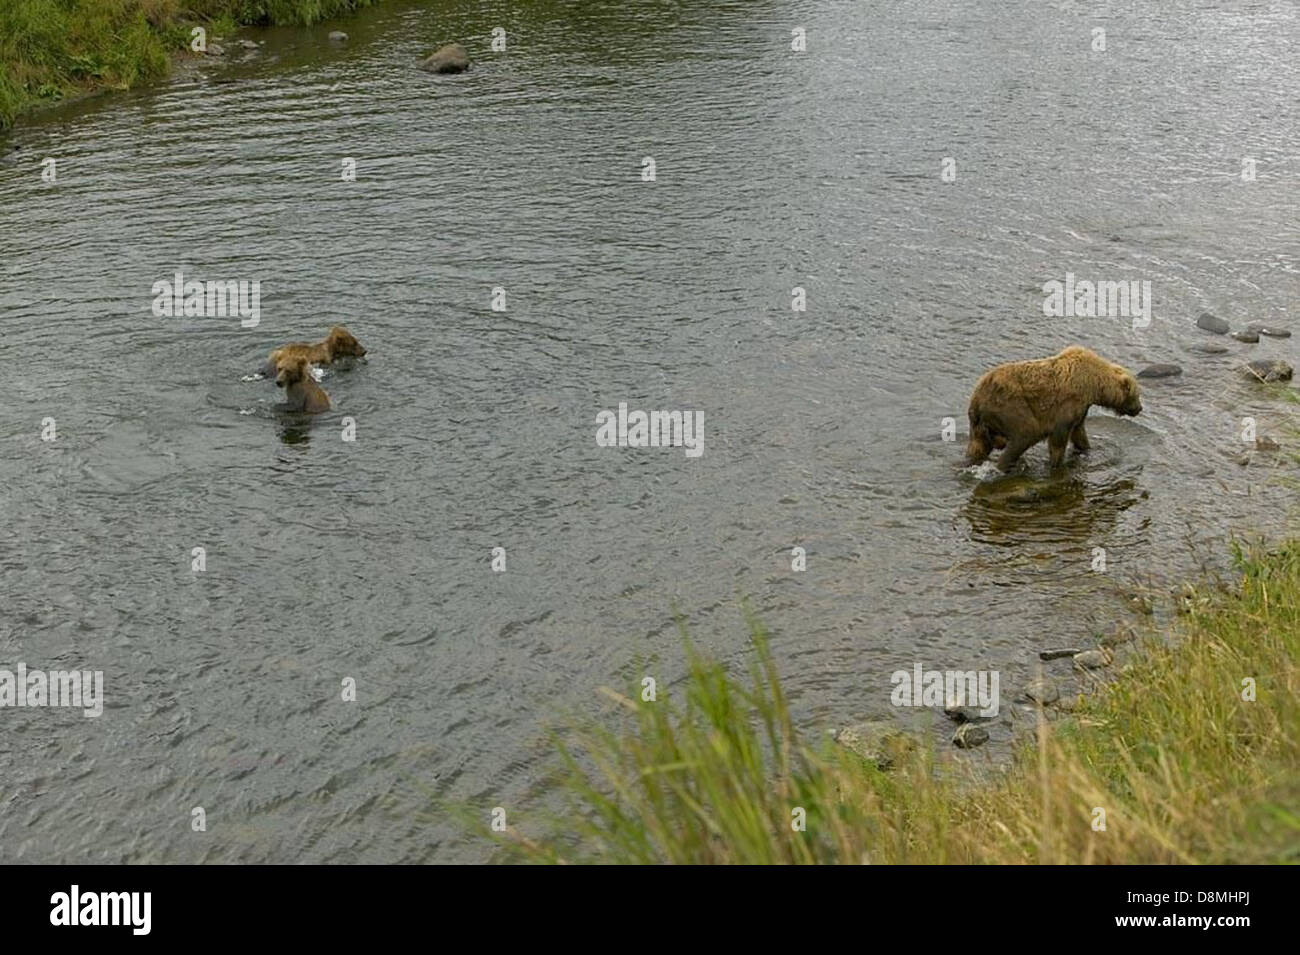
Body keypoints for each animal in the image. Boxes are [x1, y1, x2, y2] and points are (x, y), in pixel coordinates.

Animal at [965, 345, 1142, 472]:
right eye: (1137, 394)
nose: (1139, 408)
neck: (1093, 385)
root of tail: (976, 398)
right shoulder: (1069, 403)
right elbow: (1059, 438)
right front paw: (1056, 464)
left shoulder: (1081, 408)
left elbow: (1079, 433)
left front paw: (1086, 449)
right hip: (1009, 406)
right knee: (1026, 433)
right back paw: (1003, 467)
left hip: (981, 423)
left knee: (978, 446)